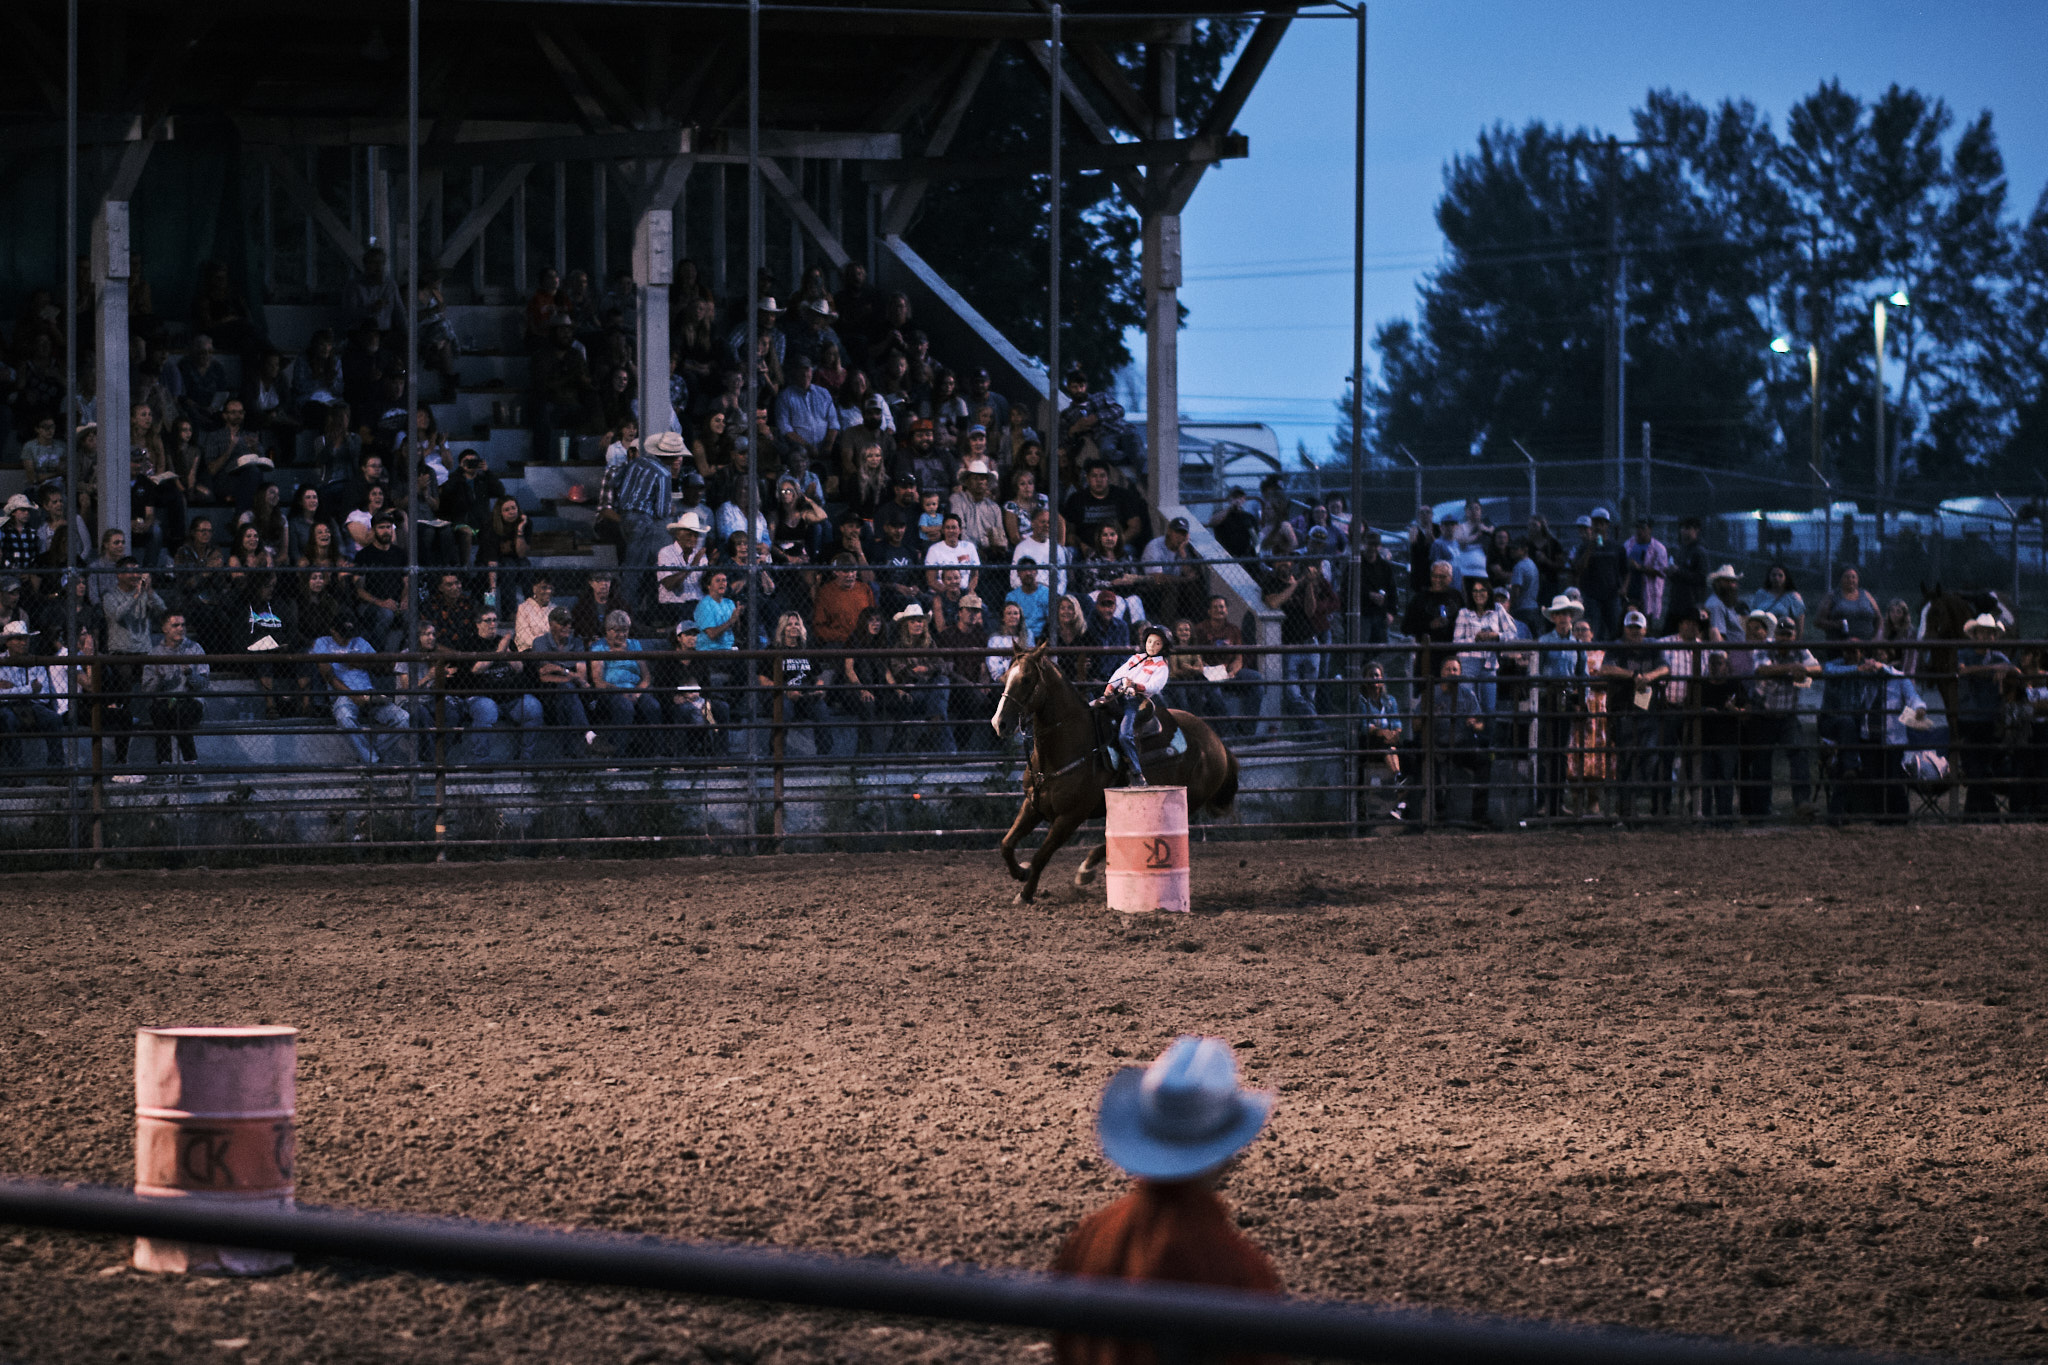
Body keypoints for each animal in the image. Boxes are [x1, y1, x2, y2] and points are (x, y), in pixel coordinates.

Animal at [987, 642, 1236, 900]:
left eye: (1026, 679)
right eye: (1005, 677)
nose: (999, 723)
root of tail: (1217, 742)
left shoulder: (1070, 817)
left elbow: (1041, 856)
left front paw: (1025, 892)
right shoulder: (1033, 805)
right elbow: (1006, 844)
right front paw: (1020, 872)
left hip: (1190, 800)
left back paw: (1086, 869)